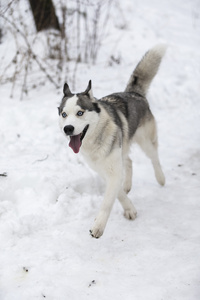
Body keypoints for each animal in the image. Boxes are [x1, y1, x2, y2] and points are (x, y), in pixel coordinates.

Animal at [58, 44, 166, 238]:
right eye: (64, 114)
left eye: (80, 113)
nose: (68, 128)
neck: (95, 140)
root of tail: (133, 92)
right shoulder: (103, 170)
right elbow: (118, 193)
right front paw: (129, 208)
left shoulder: (113, 170)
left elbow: (108, 201)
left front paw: (98, 226)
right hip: (124, 147)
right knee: (129, 161)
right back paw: (128, 184)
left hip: (146, 141)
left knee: (154, 157)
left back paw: (160, 178)